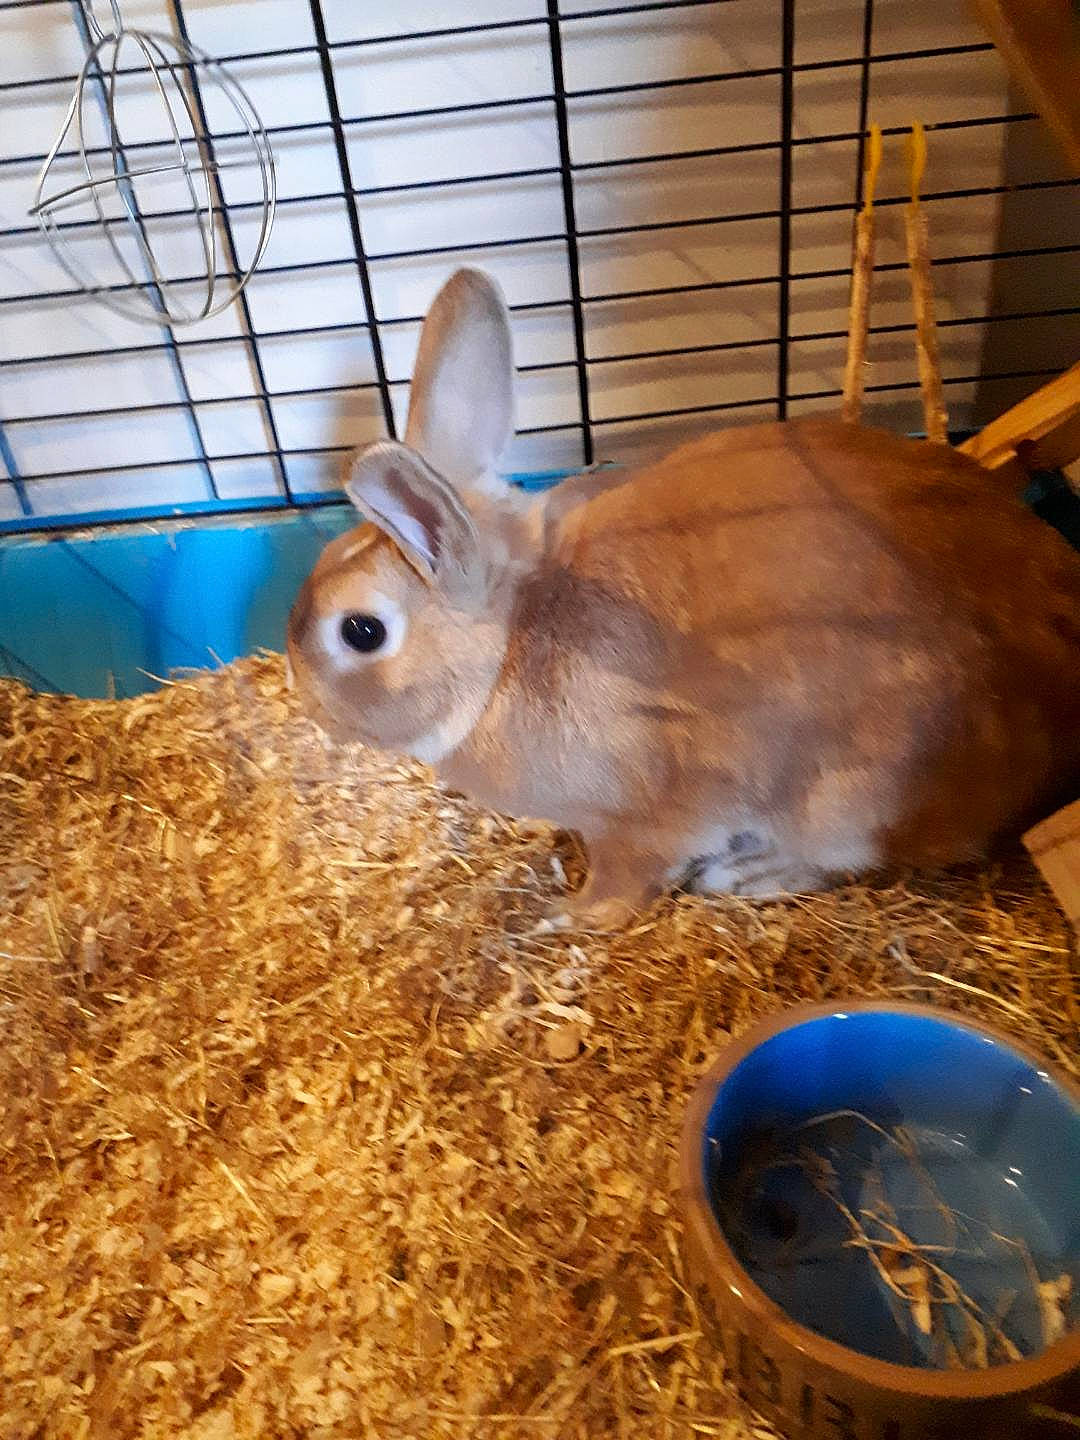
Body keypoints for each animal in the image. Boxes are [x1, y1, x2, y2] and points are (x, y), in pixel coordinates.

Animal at [287, 267, 1080, 929]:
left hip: (850, 797)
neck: (506, 650)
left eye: (361, 632)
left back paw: (751, 873)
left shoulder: (641, 820)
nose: (309, 705)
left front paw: (564, 917)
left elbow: (625, 880)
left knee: (858, 856)